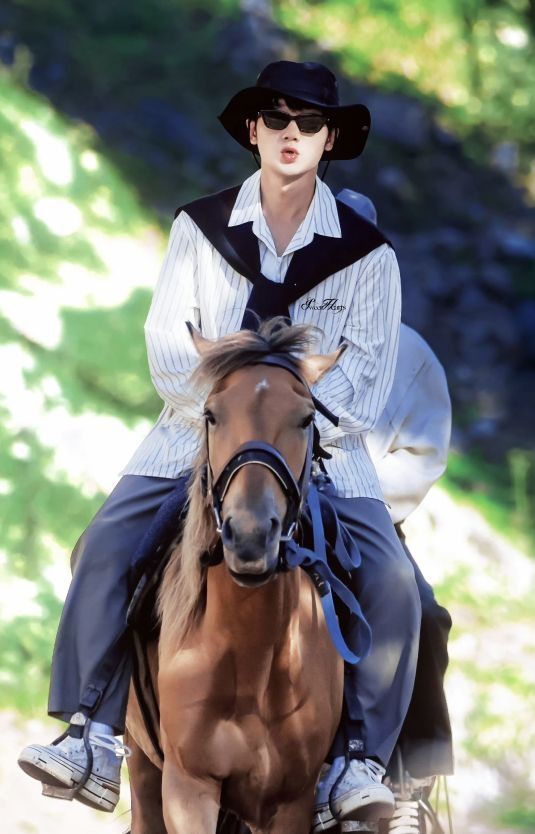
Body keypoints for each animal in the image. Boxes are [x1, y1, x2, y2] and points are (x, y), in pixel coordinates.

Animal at [124, 319, 346, 834]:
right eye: (211, 414)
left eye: (306, 419)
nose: (248, 536)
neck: (253, 663)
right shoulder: (188, 788)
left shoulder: (291, 804)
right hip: (143, 764)